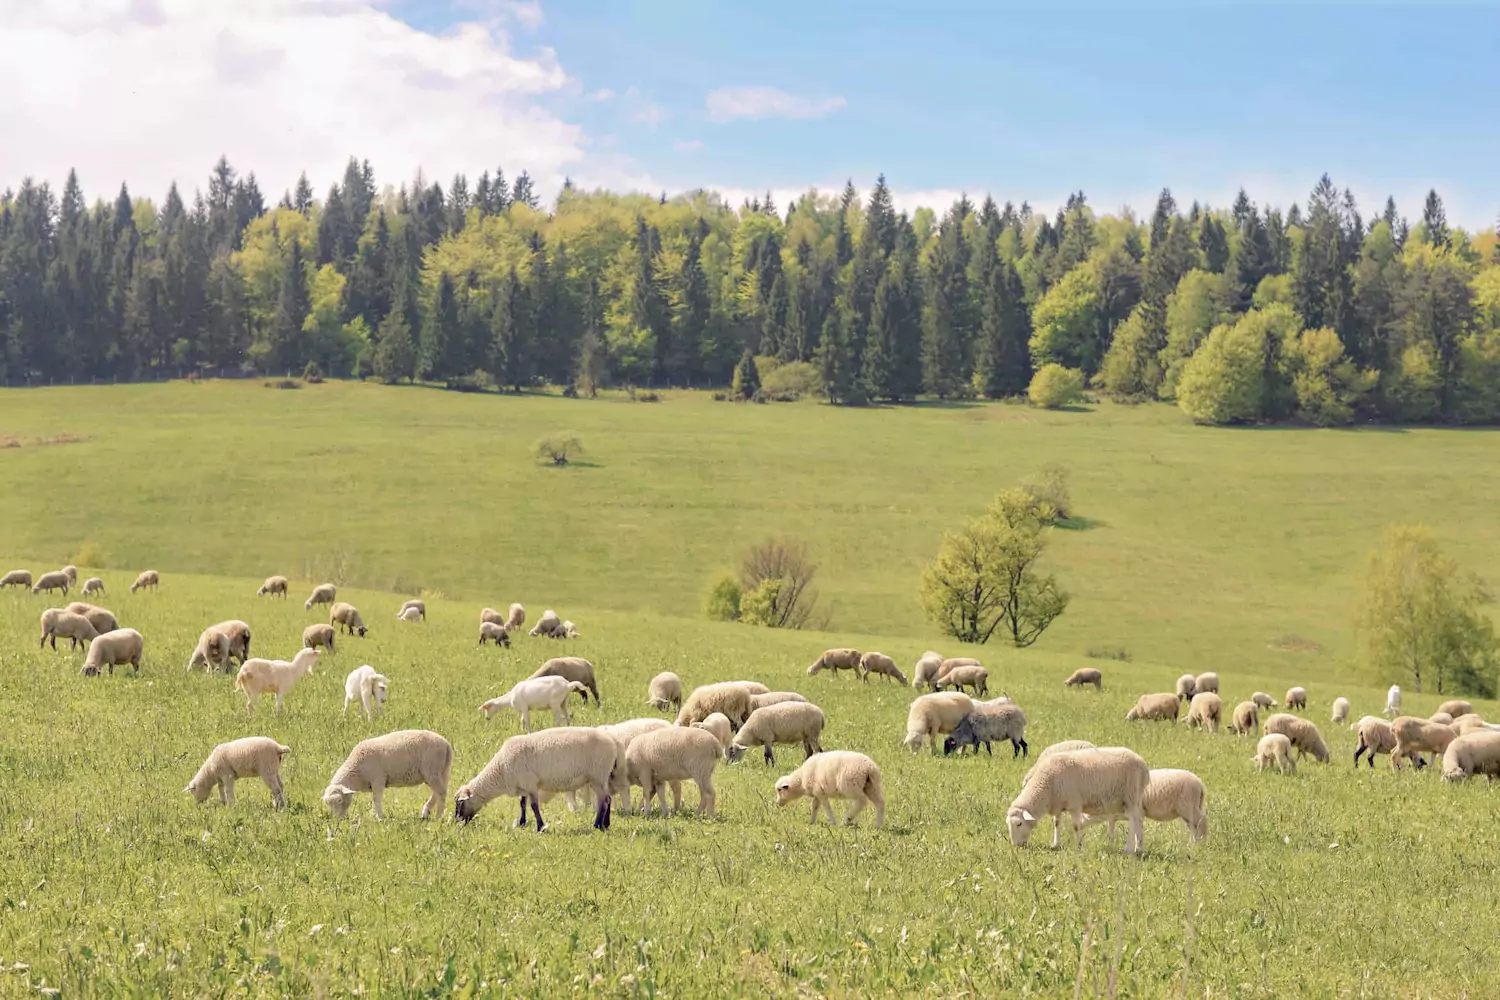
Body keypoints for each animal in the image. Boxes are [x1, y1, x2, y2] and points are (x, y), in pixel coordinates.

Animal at [321, 728, 450, 821]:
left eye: (339, 800)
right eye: (327, 804)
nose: (338, 820)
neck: (356, 769)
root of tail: (446, 744)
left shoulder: (378, 779)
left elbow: (376, 798)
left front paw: (379, 818)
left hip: (432, 770)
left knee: (441, 793)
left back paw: (438, 818)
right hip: (440, 772)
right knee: (437, 792)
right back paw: (425, 813)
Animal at [453, 728, 624, 827]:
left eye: (460, 804)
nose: (457, 822)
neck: (499, 771)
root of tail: (613, 741)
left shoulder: (531, 784)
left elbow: (534, 806)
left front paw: (540, 826)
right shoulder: (523, 784)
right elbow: (522, 803)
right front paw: (521, 823)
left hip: (597, 776)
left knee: (603, 800)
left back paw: (597, 825)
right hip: (603, 777)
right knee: (608, 799)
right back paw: (606, 824)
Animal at [1008, 746, 1146, 857]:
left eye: (1019, 824)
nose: (1016, 845)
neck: (1046, 785)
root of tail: (1142, 762)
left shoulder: (1074, 804)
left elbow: (1076, 826)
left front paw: (1080, 847)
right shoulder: (1058, 803)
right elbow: (1056, 823)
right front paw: (1055, 844)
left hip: (1130, 796)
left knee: (1133, 822)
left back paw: (1128, 849)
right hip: (1135, 799)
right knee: (1138, 821)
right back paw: (1138, 848)